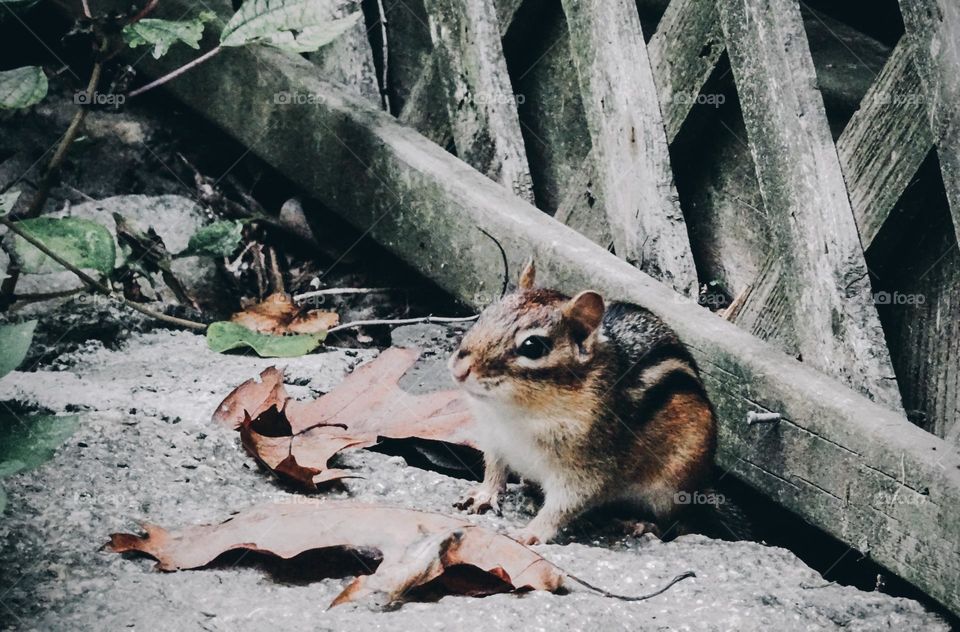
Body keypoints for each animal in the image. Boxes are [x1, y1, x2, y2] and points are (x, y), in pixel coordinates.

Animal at [449, 260, 731, 545]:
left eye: (532, 346)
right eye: (485, 315)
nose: (459, 369)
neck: (515, 413)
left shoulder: (588, 468)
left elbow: (563, 506)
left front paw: (530, 532)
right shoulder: (494, 439)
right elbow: (494, 470)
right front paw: (484, 495)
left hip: (673, 486)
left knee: (675, 523)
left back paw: (639, 523)